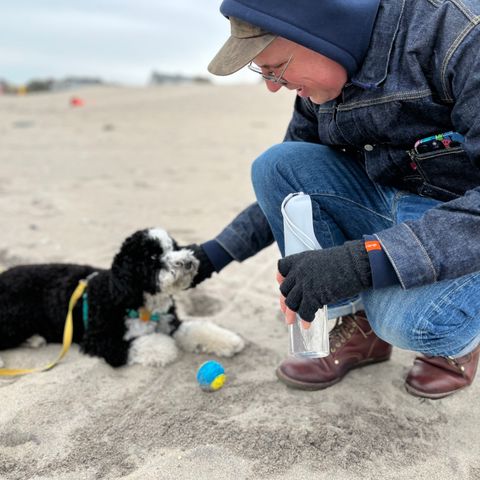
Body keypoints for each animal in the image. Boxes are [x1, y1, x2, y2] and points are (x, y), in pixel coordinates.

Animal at [0, 228, 242, 368]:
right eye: (152, 256)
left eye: (174, 247)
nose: (189, 262)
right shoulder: (100, 340)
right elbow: (150, 342)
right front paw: (165, 346)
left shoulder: (169, 322)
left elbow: (193, 329)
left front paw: (228, 341)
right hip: (16, 316)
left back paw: (34, 339)